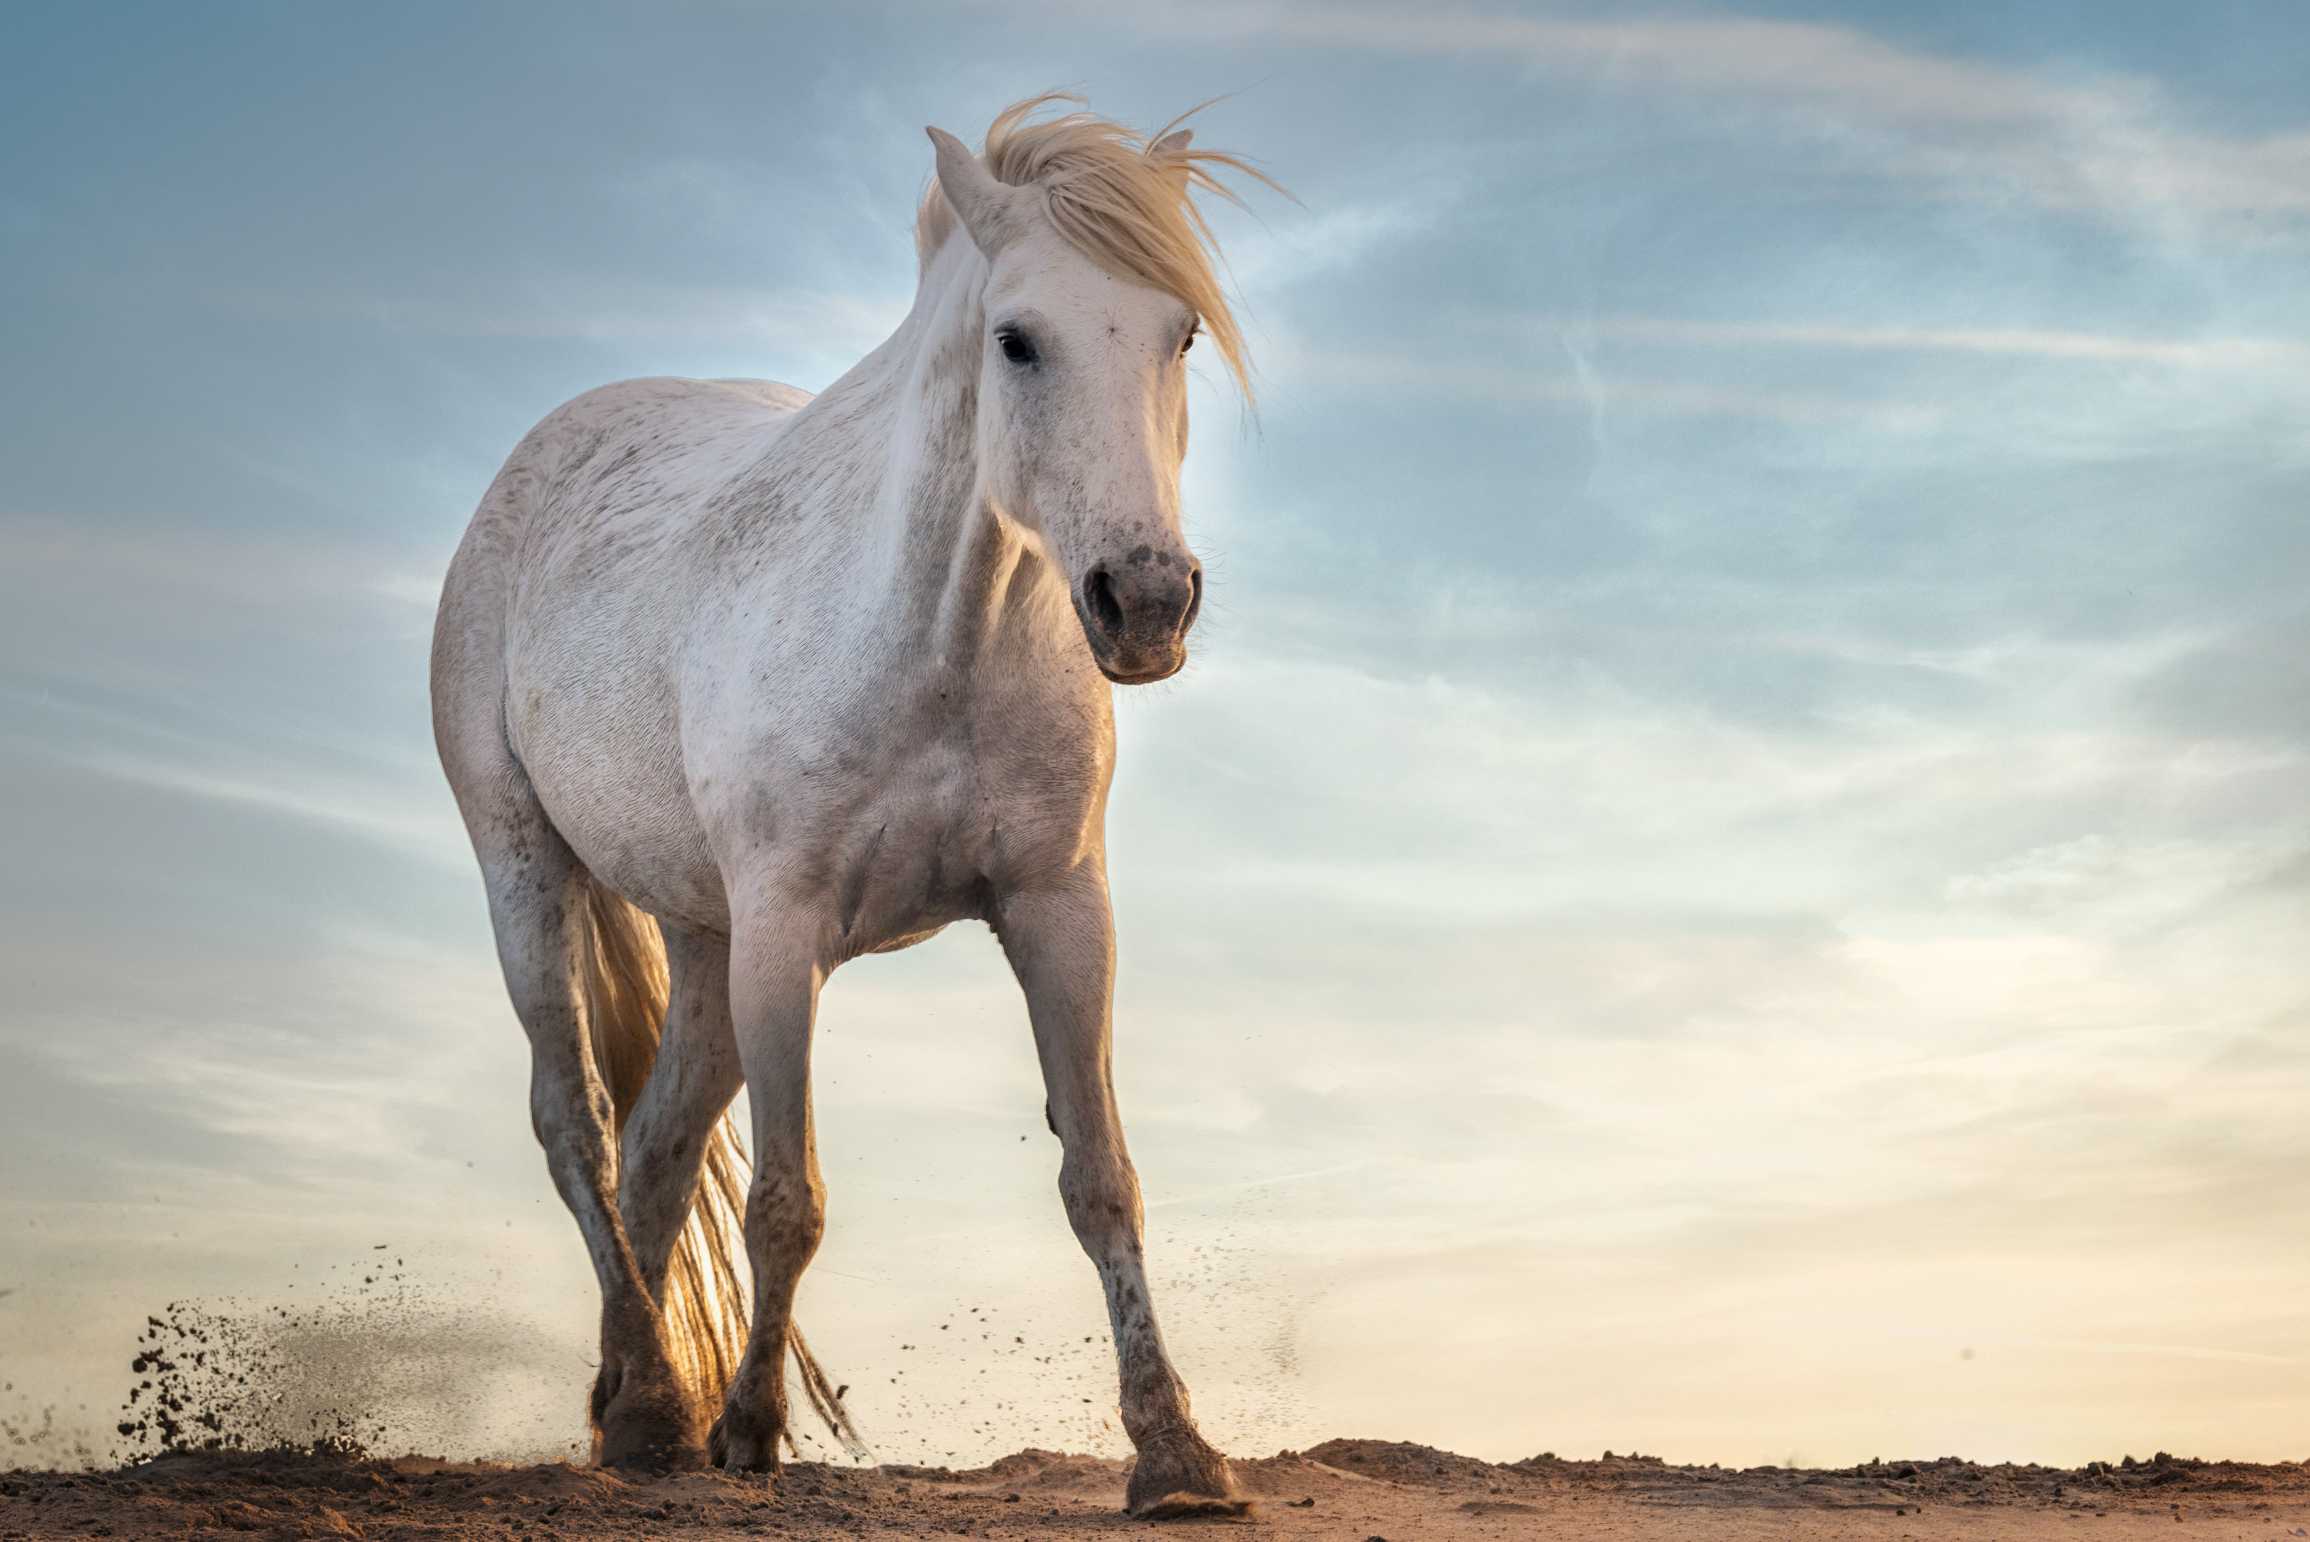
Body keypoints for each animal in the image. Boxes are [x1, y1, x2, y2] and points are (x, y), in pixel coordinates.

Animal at [429, 94, 1276, 1517]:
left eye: (1183, 334)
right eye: (1017, 339)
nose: (1146, 602)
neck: (935, 639)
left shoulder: (1060, 914)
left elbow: (1101, 1181)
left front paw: (1177, 1454)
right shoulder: (786, 936)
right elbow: (787, 1201)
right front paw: (752, 1429)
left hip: (703, 941)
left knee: (657, 1151)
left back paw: (630, 1408)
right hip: (528, 871)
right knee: (578, 1128)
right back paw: (663, 1410)